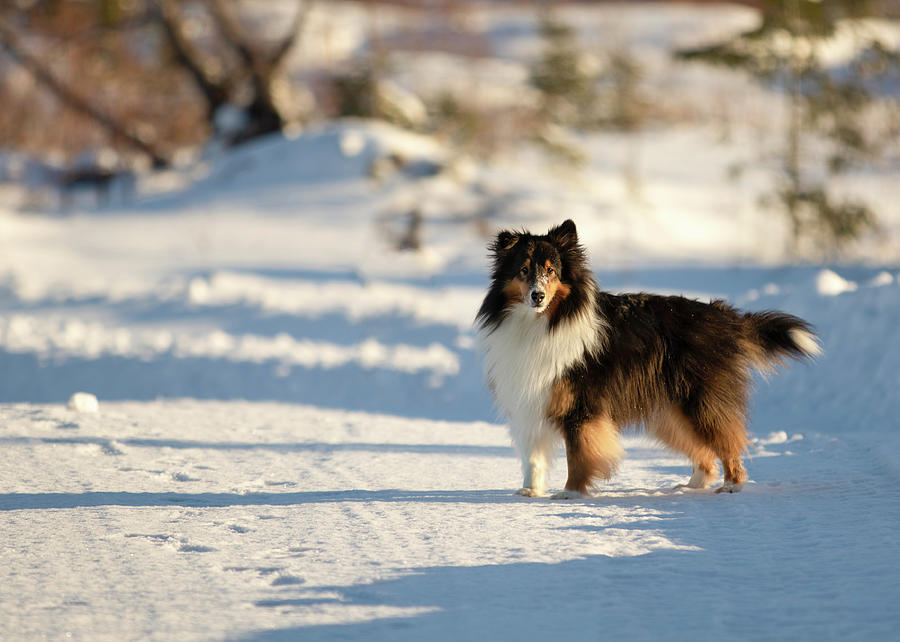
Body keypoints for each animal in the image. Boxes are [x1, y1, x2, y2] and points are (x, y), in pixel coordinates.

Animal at [478, 219, 824, 496]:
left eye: (551, 271)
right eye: (523, 270)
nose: (537, 296)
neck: (542, 322)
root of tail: (723, 316)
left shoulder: (581, 406)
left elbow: (578, 455)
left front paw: (570, 493)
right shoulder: (529, 400)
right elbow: (532, 456)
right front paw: (529, 491)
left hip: (700, 401)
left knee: (727, 441)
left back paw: (731, 485)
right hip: (671, 411)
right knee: (703, 451)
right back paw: (692, 485)